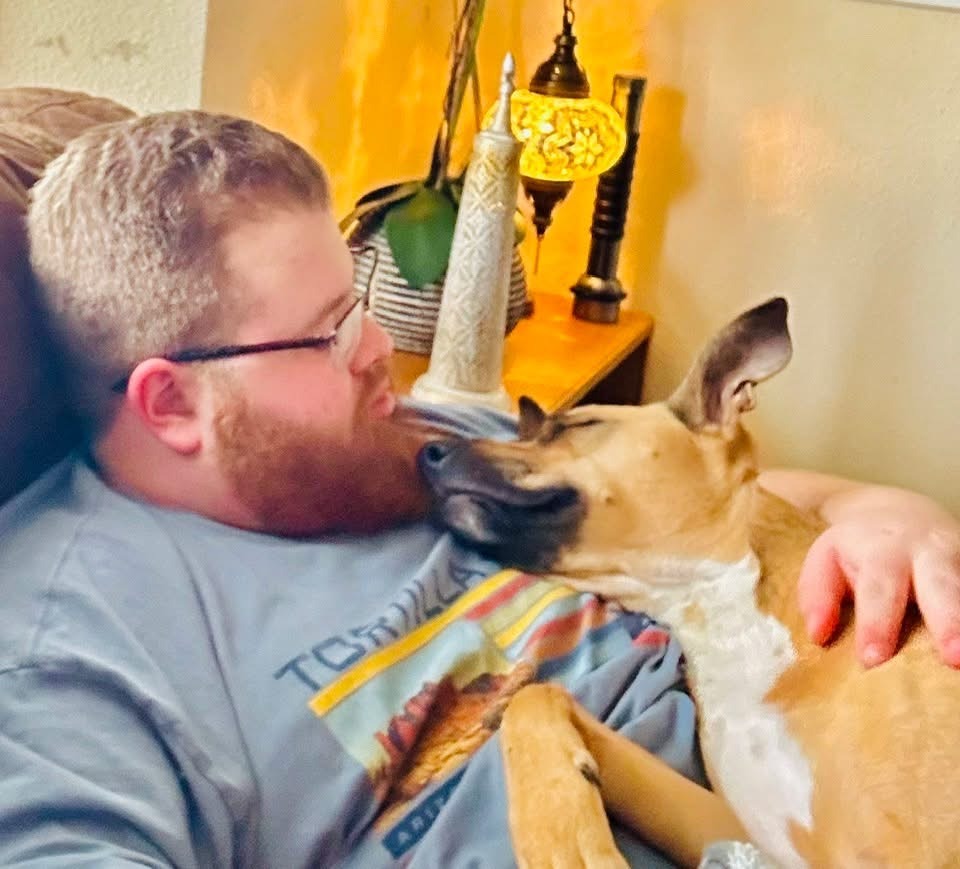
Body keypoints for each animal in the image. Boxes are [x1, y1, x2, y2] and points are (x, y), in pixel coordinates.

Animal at [418, 298, 960, 868]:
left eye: (578, 424)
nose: (428, 452)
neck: (718, 615)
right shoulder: (737, 829)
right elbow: (534, 696)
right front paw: (566, 838)